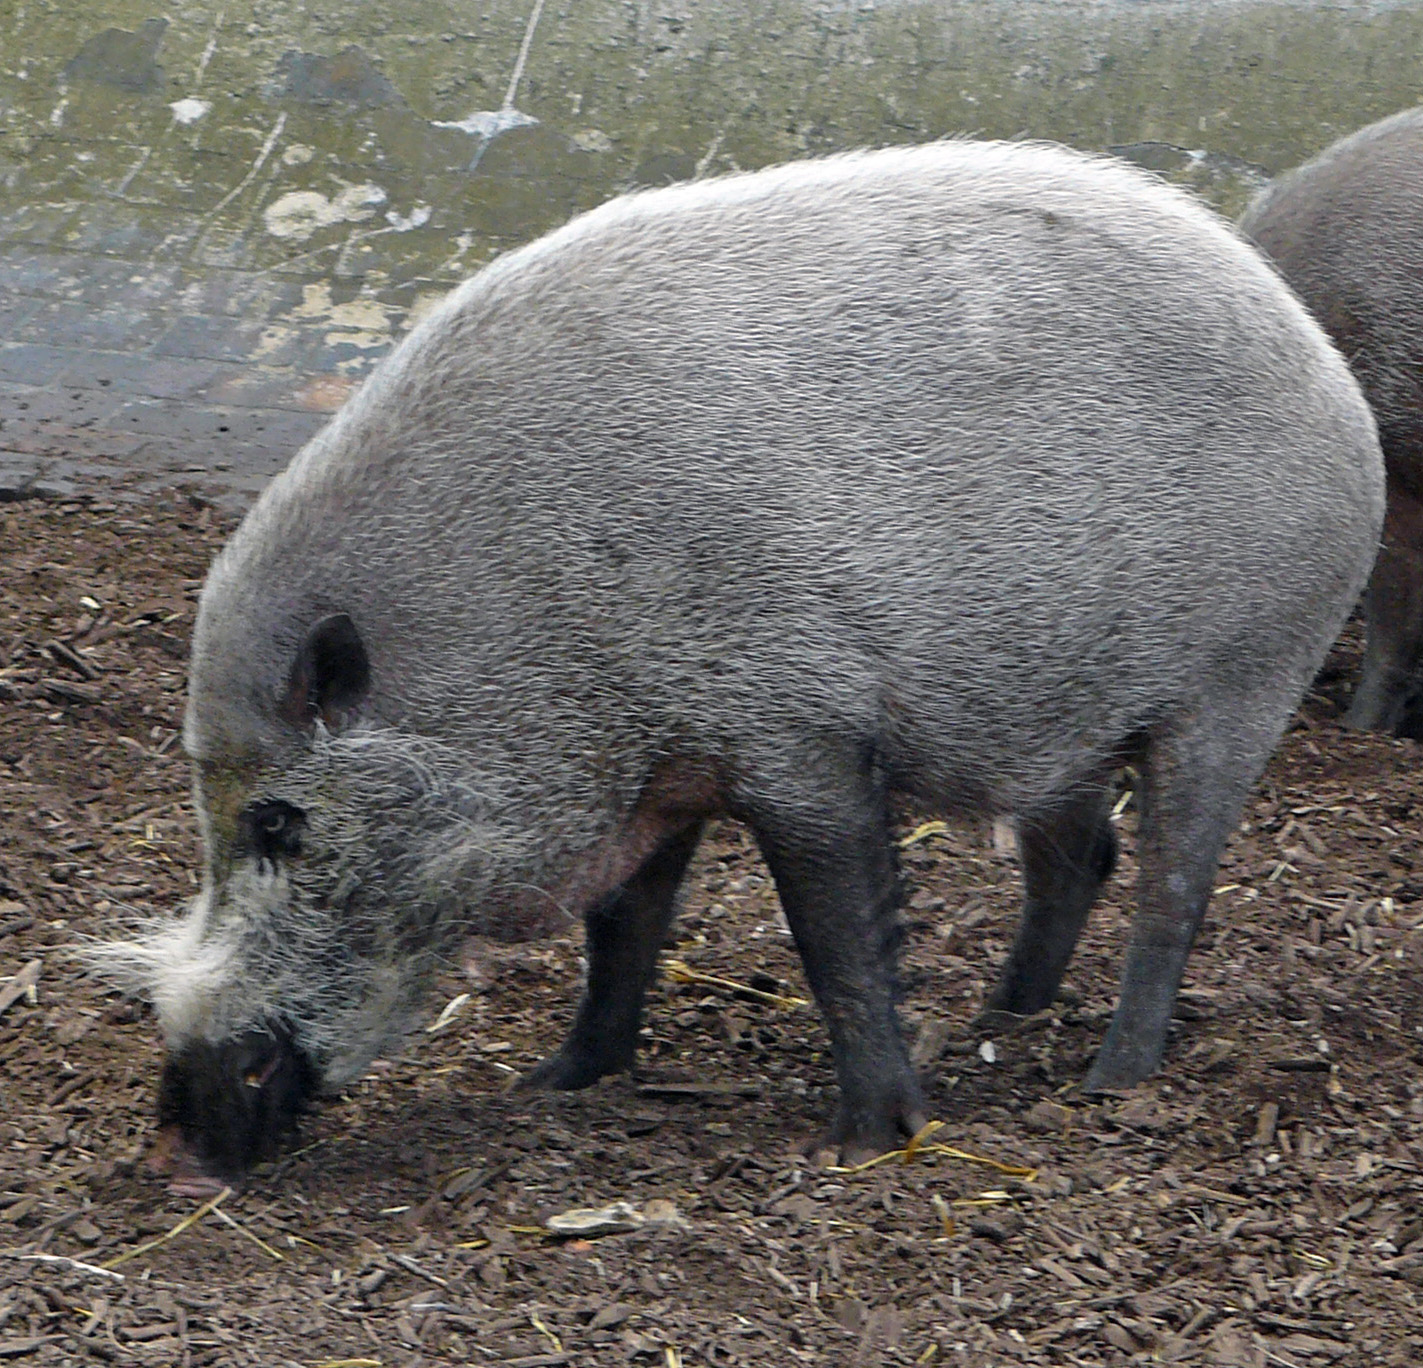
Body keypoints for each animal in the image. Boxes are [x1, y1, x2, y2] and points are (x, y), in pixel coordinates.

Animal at [93, 139, 1385, 1187]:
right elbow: (622, 931)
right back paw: (1003, 1013)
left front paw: (866, 1143)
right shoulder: (656, 773)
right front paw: (557, 1082)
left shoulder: (799, 735)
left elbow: (835, 935)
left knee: (1173, 884)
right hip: (1060, 718)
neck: (523, 614)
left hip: (1241, 682)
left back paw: (1109, 1079)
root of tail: (1328, 379)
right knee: (1079, 854)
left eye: (277, 823)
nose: (169, 1155)